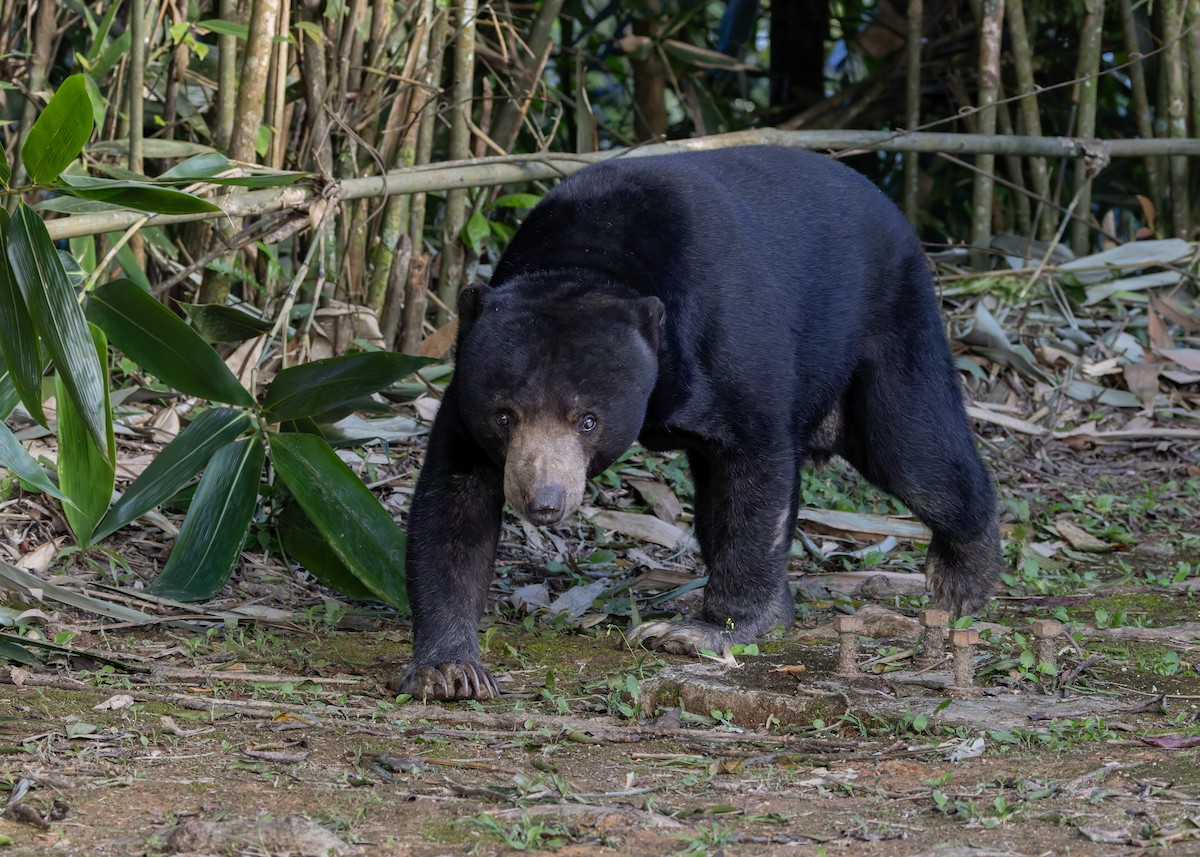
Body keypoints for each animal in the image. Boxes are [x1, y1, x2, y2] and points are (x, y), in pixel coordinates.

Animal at [395, 146, 1002, 701]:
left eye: (588, 420)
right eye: (505, 415)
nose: (543, 501)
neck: (588, 261)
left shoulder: (727, 334)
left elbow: (753, 473)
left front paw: (704, 631)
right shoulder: (465, 393)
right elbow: (456, 500)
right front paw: (449, 669)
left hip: (885, 319)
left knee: (911, 446)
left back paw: (960, 579)